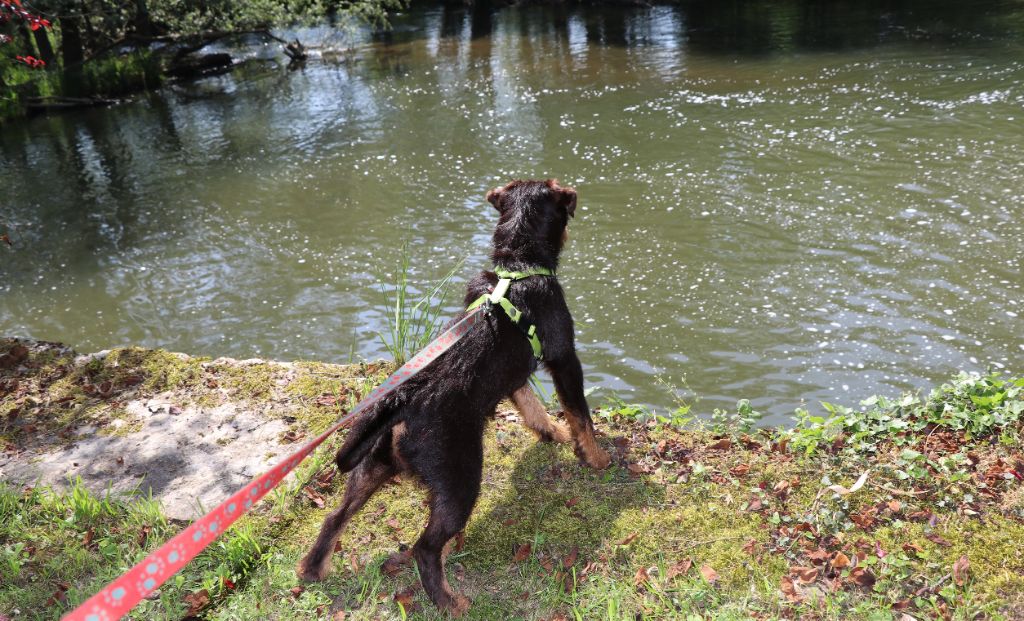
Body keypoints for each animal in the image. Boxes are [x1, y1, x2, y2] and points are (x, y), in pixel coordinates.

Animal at [299, 180, 610, 618]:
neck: (517, 268)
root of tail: (402, 402)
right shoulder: (565, 359)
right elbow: (580, 414)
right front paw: (597, 457)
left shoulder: (514, 375)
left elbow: (531, 406)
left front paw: (553, 433)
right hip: (460, 480)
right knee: (424, 548)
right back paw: (451, 601)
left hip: (372, 466)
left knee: (334, 518)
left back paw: (313, 569)